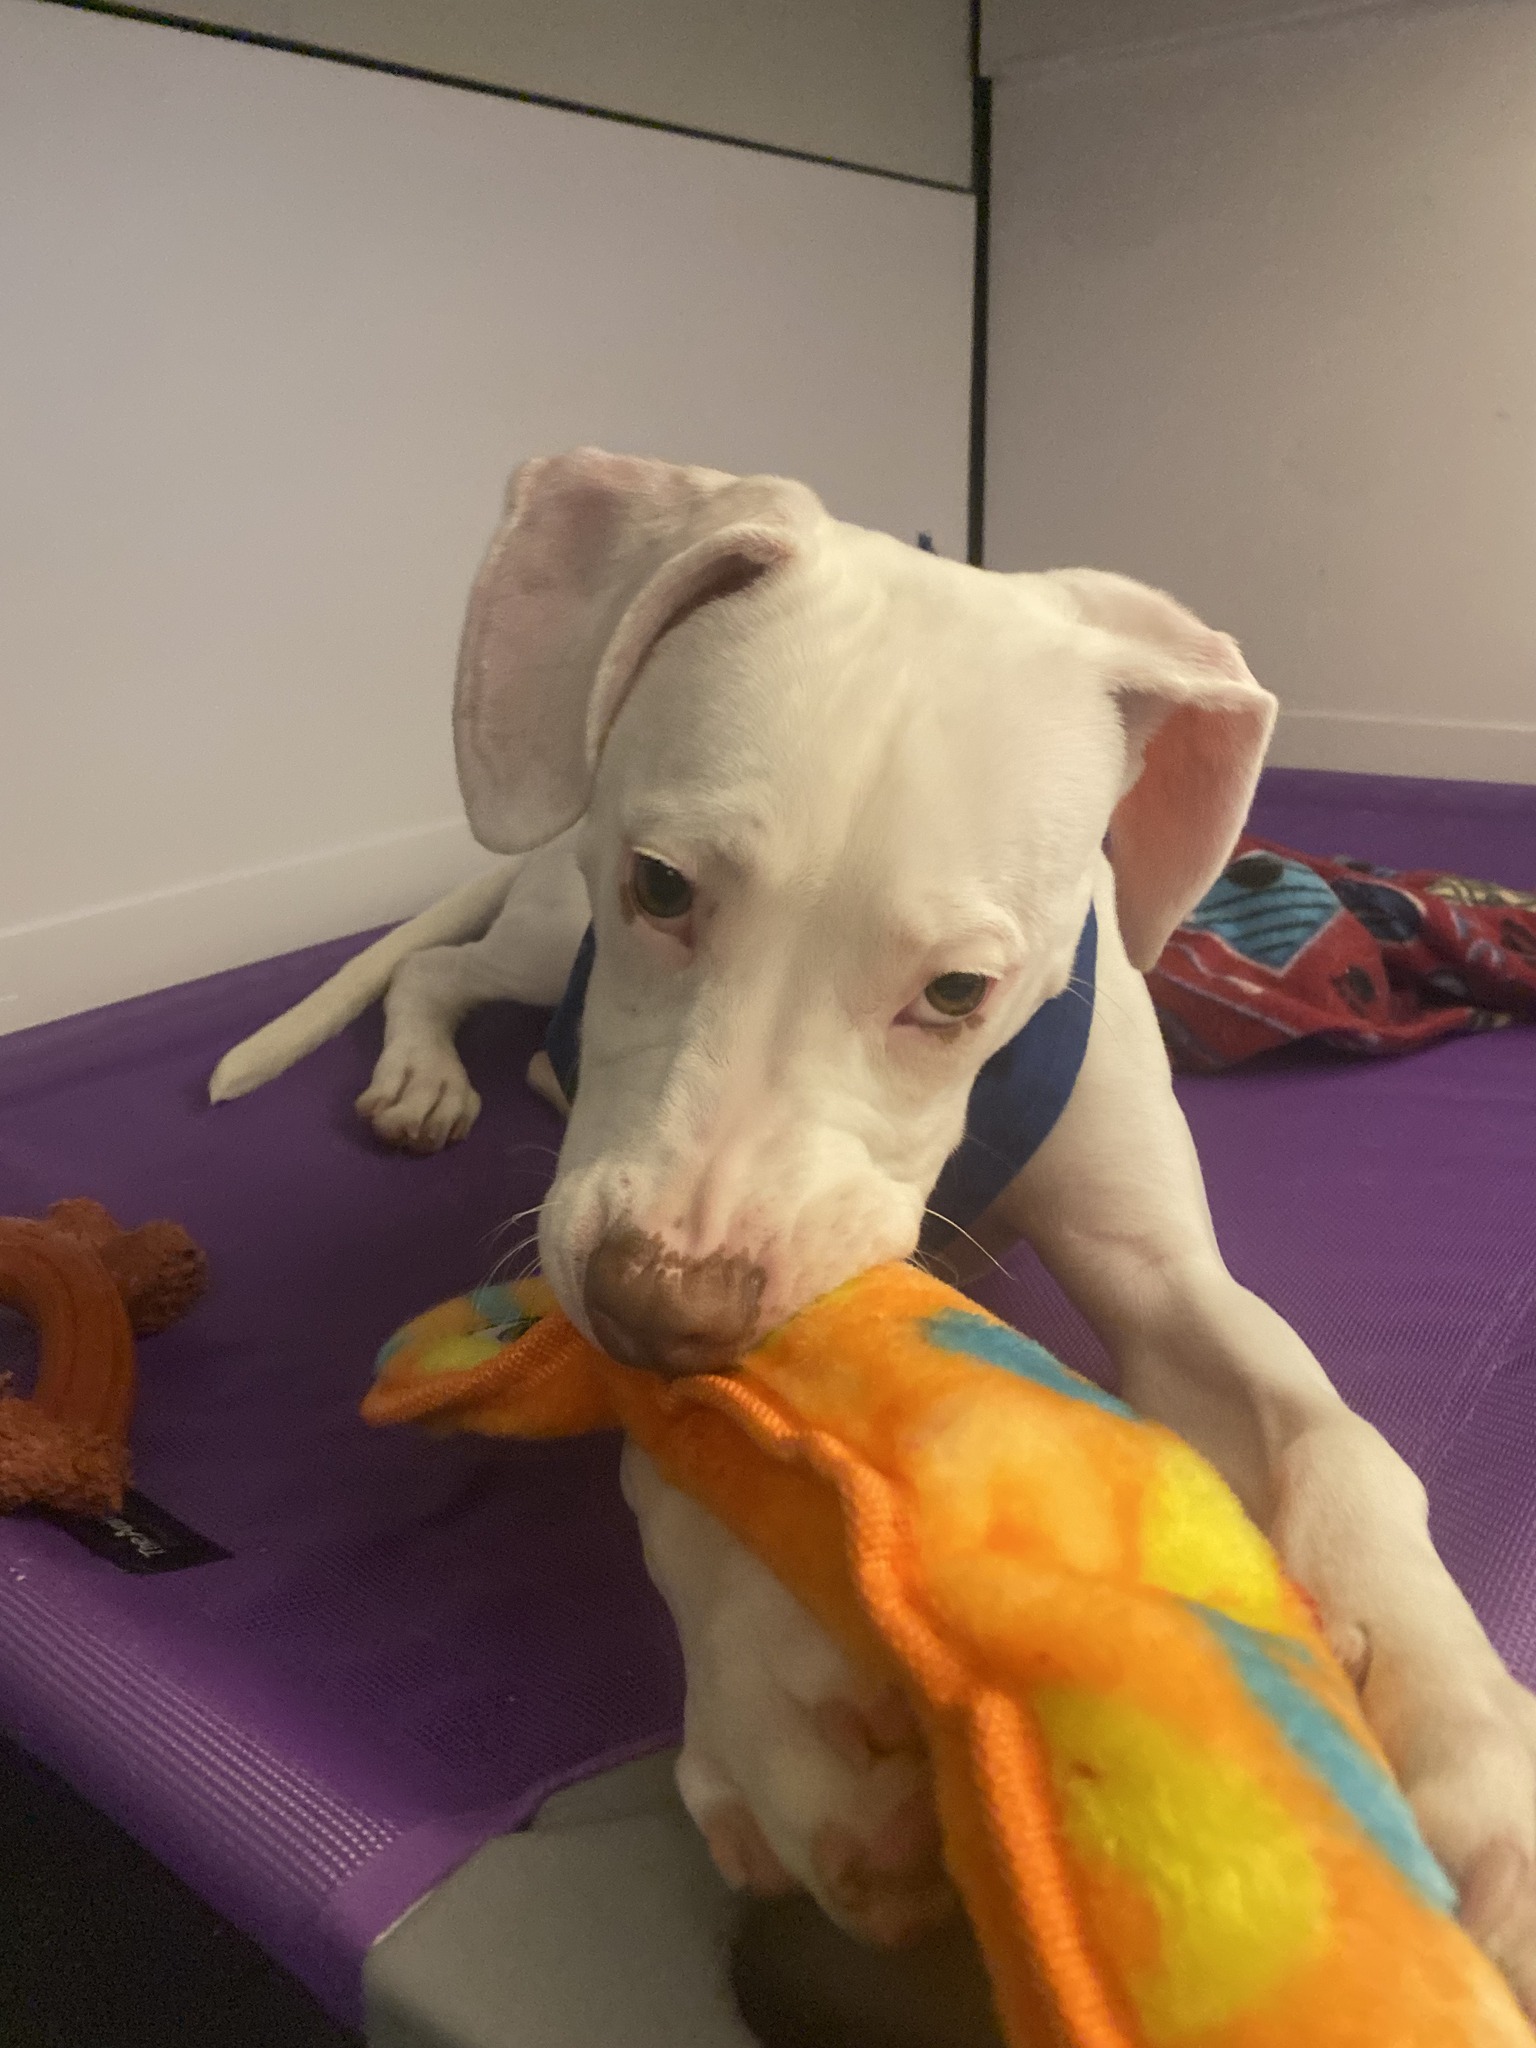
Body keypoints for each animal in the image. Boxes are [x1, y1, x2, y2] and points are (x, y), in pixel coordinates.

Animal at [214, 448, 1536, 1998]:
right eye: (660, 886)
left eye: (959, 991)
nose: (662, 1306)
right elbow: (681, 1468)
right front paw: (782, 1723)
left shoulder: (1160, 1271)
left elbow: (1342, 1438)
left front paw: (1467, 1743)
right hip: (546, 921)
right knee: (444, 967)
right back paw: (425, 1074)